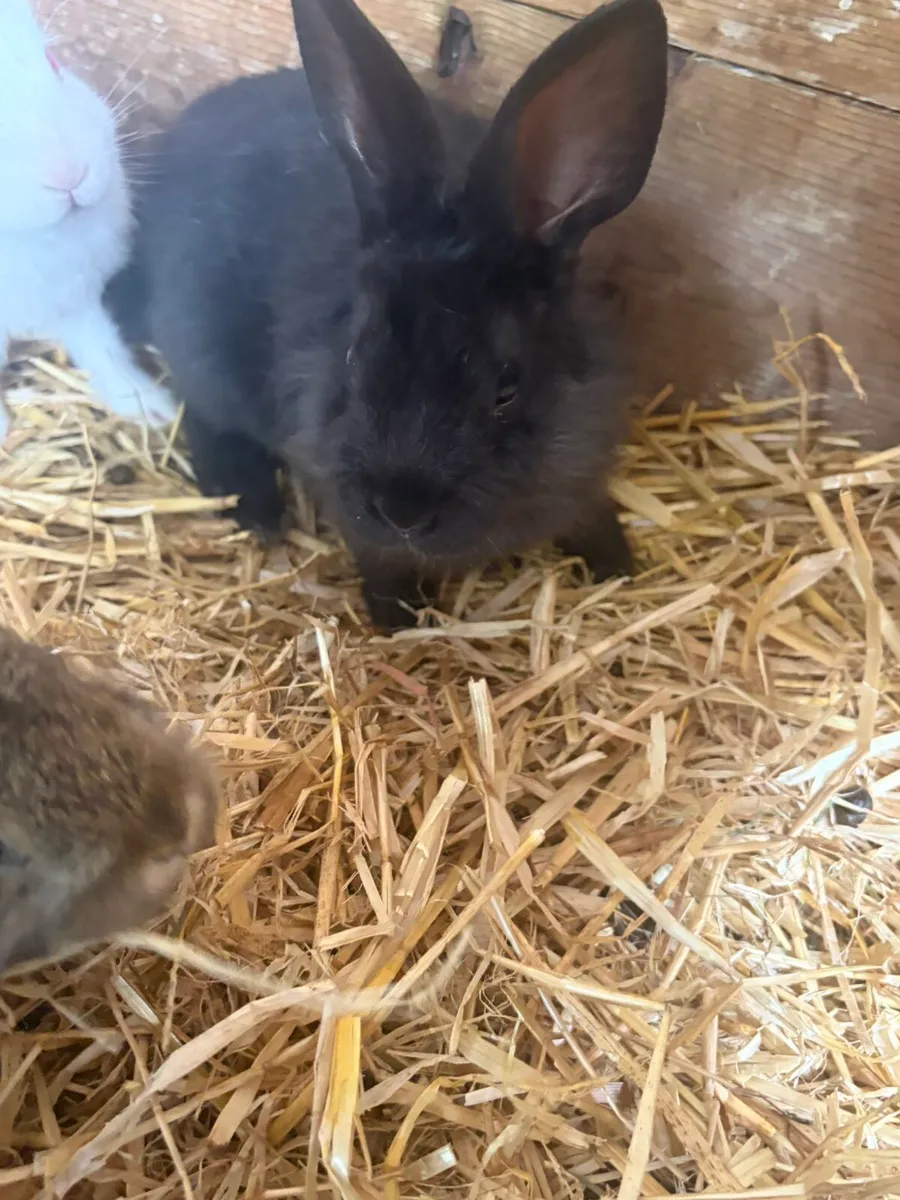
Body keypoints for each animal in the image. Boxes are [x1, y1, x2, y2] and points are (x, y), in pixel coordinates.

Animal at [109, 0, 668, 630]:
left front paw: (620, 569)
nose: (402, 511)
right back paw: (254, 508)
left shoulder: (583, 475)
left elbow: (592, 519)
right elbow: (381, 563)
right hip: (207, 357)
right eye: (354, 356)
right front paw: (400, 620)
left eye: (507, 386)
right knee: (202, 416)